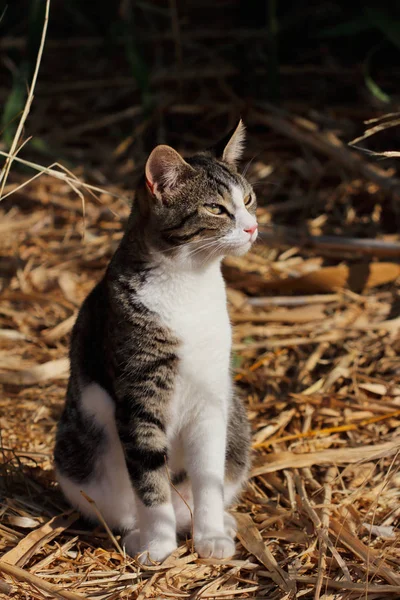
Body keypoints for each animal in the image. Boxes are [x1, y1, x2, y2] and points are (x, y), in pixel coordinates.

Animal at [54, 120, 258, 564]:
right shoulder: (138, 395)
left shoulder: (211, 398)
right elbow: (149, 478)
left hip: (236, 425)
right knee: (122, 505)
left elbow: (208, 475)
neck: (190, 284)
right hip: (77, 457)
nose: (252, 227)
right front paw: (159, 546)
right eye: (216, 208)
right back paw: (140, 535)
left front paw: (211, 537)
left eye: (249, 199)